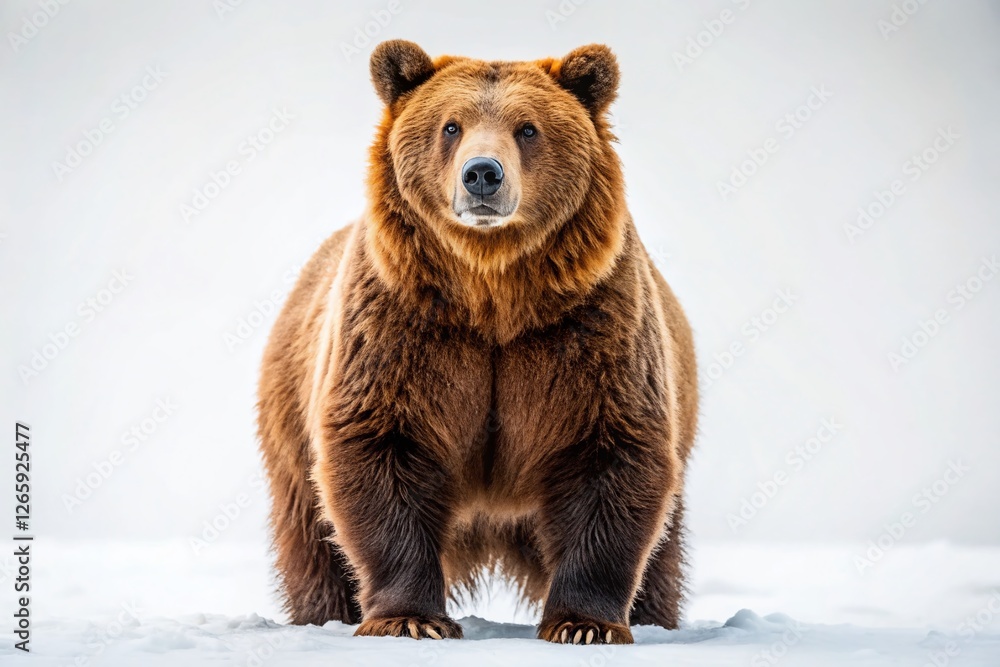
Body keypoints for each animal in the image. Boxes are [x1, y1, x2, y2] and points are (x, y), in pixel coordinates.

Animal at [257, 40, 698, 645]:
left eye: (528, 128)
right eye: (451, 125)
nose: (482, 174)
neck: (492, 292)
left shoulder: (592, 327)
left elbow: (610, 451)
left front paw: (585, 624)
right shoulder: (401, 328)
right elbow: (379, 446)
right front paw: (410, 618)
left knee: (663, 551)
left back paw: (655, 615)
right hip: (291, 427)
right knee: (314, 537)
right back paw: (326, 612)